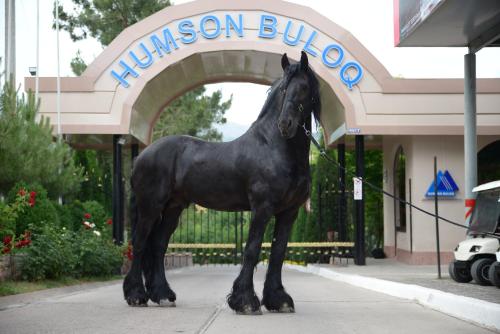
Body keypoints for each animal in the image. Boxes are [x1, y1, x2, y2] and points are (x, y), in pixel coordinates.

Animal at [123, 51, 322, 314]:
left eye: (303, 87)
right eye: (283, 90)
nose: (285, 124)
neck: (274, 147)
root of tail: (141, 157)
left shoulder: (289, 212)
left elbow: (278, 253)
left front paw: (278, 299)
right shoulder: (262, 208)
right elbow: (252, 249)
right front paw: (245, 301)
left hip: (173, 208)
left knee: (157, 245)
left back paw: (163, 295)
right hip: (150, 207)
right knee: (140, 243)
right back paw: (136, 295)